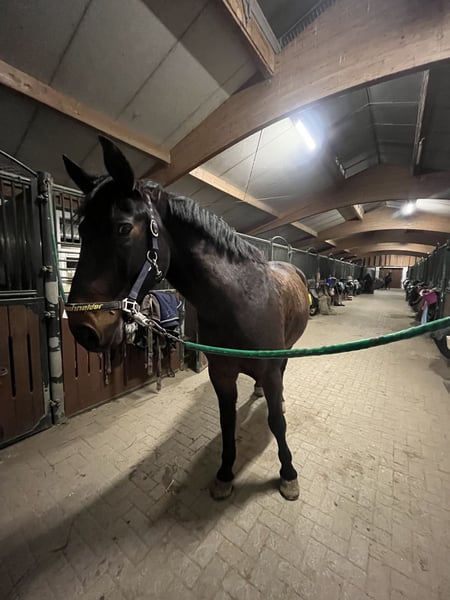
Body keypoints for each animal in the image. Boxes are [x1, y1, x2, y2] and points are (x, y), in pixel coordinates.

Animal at [63, 137, 310, 500]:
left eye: (123, 228)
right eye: (81, 229)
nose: (84, 330)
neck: (239, 302)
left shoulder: (268, 369)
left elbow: (277, 422)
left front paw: (288, 473)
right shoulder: (221, 373)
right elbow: (226, 422)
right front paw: (224, 474)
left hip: (287, 350)